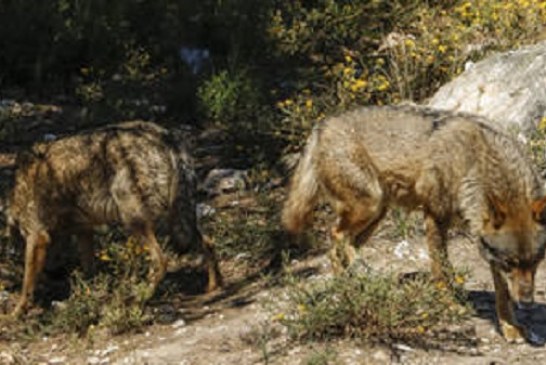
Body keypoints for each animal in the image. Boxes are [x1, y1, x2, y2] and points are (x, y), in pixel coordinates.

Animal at [4, 121, 221, 314]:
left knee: (161, 261)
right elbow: (88, 270)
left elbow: (27, 282)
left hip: (136, 221)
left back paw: (140, 297)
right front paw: (88, 297)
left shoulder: (37, 237)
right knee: (208, 243)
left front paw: (17, 311)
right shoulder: (83, 230)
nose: (56, 274)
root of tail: (165, 136)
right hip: (176, 220)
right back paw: (214, 286)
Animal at [282, 104, 544, 342]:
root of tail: (322, 125)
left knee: (346, 247)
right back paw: (353, 284)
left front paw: (509, 327)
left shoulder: (486, 245)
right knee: (335, 238)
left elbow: (502, 293)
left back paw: (359, 283)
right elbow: (441, 270)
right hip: (369, 205)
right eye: (510, 262)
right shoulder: (435, 216)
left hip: (377, 213)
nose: (528, 303)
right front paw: (450, 305)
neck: (475, 162)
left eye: (536, 261)